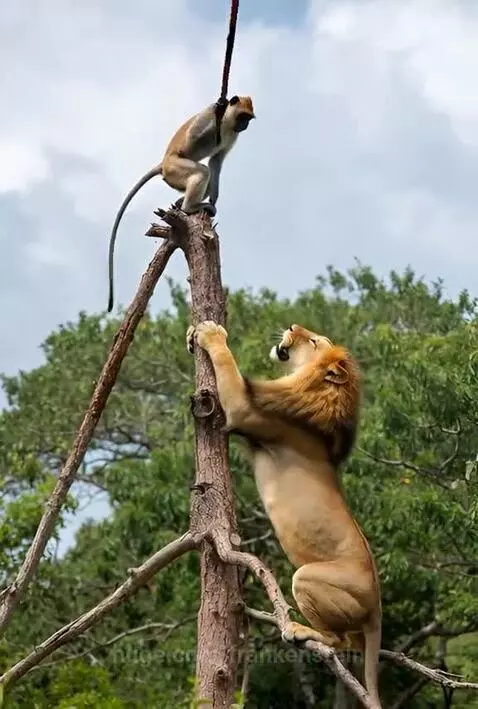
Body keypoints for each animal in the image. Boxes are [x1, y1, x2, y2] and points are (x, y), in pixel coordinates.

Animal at [106, 96, 255, 313]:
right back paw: (188, 207)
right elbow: (194, 139)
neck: (228, 122)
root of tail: (163, 164)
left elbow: (216, 160)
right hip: (175, 168)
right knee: (202, 171)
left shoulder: (233, 136)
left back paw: (182, 203)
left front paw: (214, 200)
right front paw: (220, 103)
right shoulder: (210, 116)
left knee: (207, 173)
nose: (244, 126)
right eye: (243, 117)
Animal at [186, 321, 383, 709]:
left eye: (314, 341)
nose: (293, 325)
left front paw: (211, 332)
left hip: (307, 579)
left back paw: (299, 630)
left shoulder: (244, 412)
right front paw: (191, 333)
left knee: (339, 641)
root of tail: (378, 609)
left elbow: (227, 363)